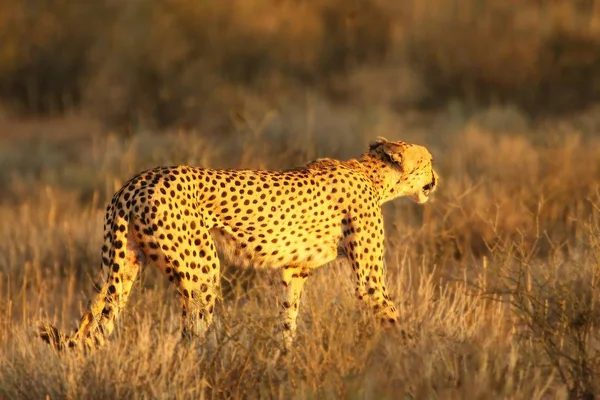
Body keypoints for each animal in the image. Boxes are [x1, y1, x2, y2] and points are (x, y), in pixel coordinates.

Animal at [38, 137, 440, 350]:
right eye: (429, 161)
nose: (437, 179)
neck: (373, 176)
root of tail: (133, 183)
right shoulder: (369, 283)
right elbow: (393, 317)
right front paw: (416, 359)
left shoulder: (294, 271)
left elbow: (287, 318)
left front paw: (283, 362)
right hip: (202, 269)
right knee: (191, 333)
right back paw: (207, 364)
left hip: (120, 270)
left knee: (96, 327)